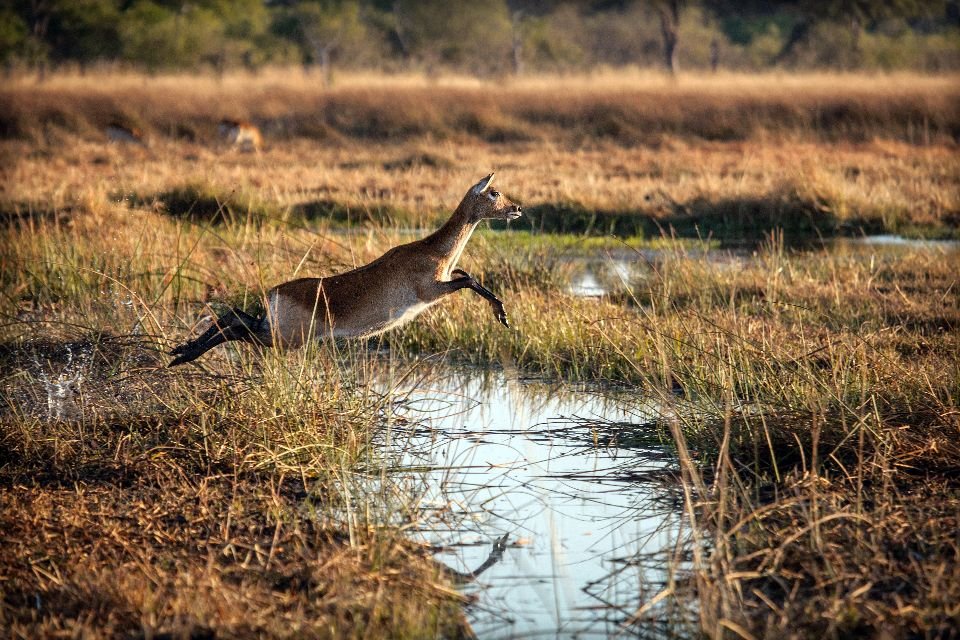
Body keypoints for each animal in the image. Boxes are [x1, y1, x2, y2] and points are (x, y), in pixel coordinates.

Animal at [169, 172, 520, 368]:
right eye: (494, 192)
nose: (517, 208)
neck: (433, 250)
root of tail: (273, 292)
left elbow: (466, 274)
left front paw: (502, 315)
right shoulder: (431, 289)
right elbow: (469, 279)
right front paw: (502, 315)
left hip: (274, 329)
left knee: (233, 316)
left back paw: (180, 351)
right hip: (283, 338)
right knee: (236, 326)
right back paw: (183, 355)